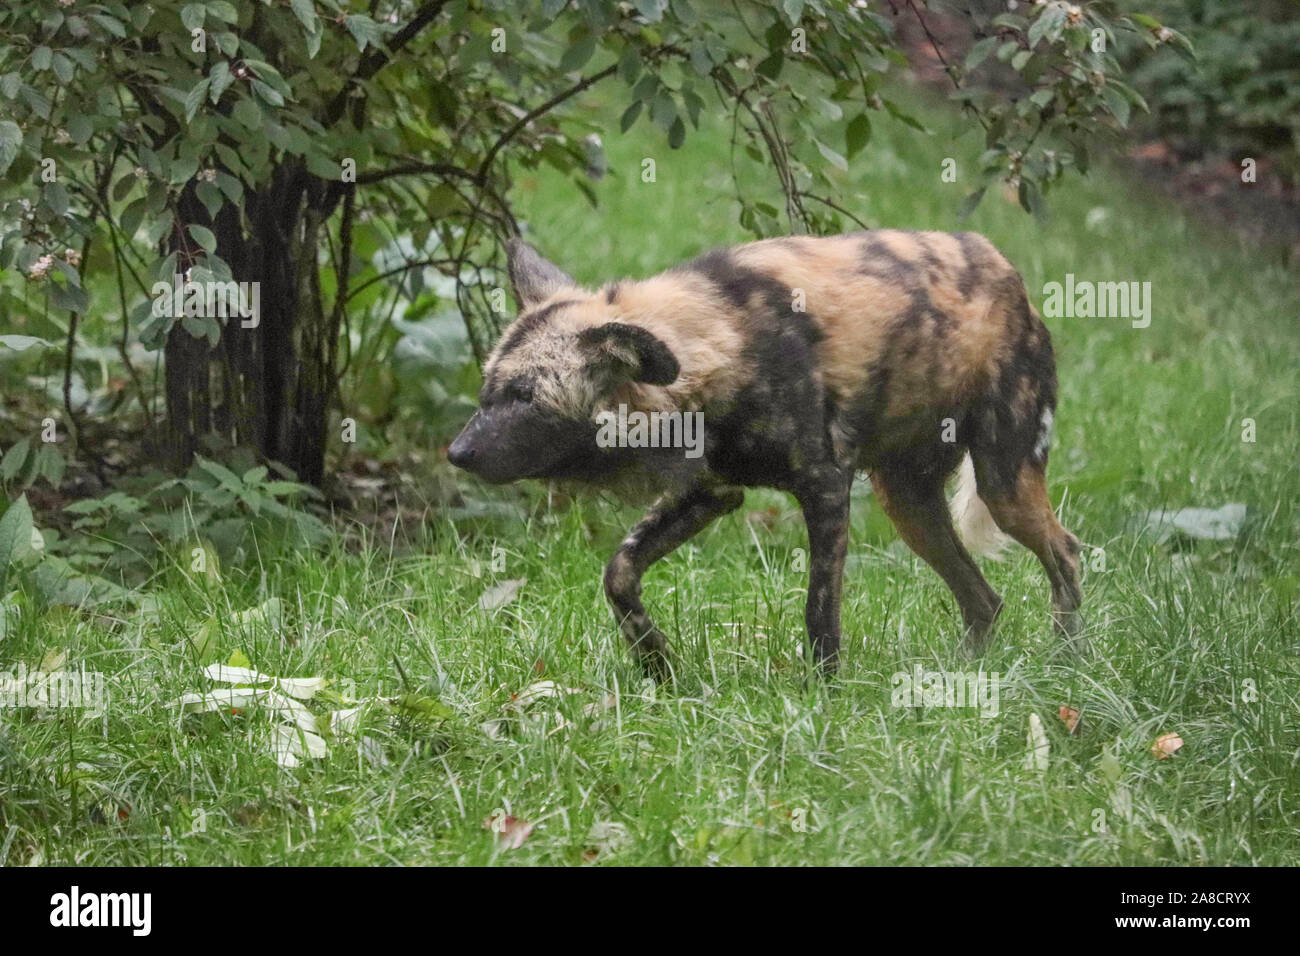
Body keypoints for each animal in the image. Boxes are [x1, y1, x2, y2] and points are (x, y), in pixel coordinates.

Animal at [452, 231, 1081, 681]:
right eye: (488, 392)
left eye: (525, 397)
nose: (457, 452)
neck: (725, 342)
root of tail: (1006, 271)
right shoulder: (709, 493)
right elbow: (619, 572)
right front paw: (655, 663)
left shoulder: (825, 489)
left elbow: (820, 614)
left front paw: (824, 699)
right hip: (908, 504)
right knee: (985, 601)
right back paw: (966, 674)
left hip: (1002, 485)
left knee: (1065, 552)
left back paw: (1069, 667)